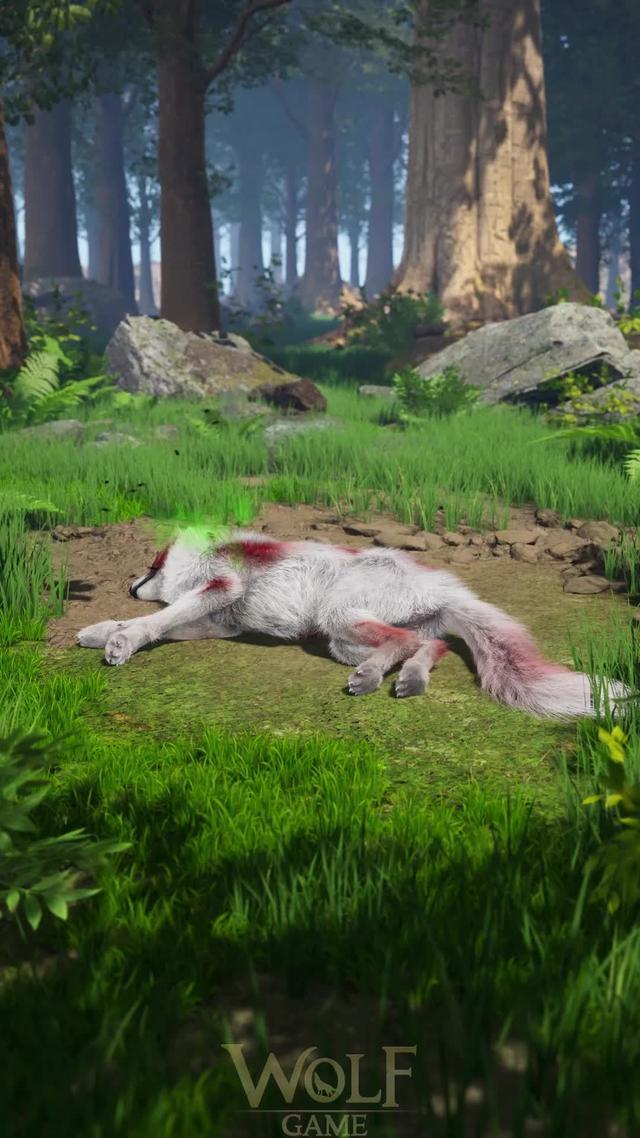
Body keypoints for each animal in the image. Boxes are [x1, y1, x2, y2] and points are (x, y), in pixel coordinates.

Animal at [76, 529, 628, 719]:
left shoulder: (221, 589)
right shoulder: (222, 623)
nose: (129, 584)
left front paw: (122, 640)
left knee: (407, 642)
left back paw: (374, 678)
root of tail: (444, 585)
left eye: (150, 565)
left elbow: (157, 620)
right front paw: (106, 629)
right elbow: (162, 623)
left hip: (337, 620)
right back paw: (408, 680)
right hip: (341, 638)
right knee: (429, 645)